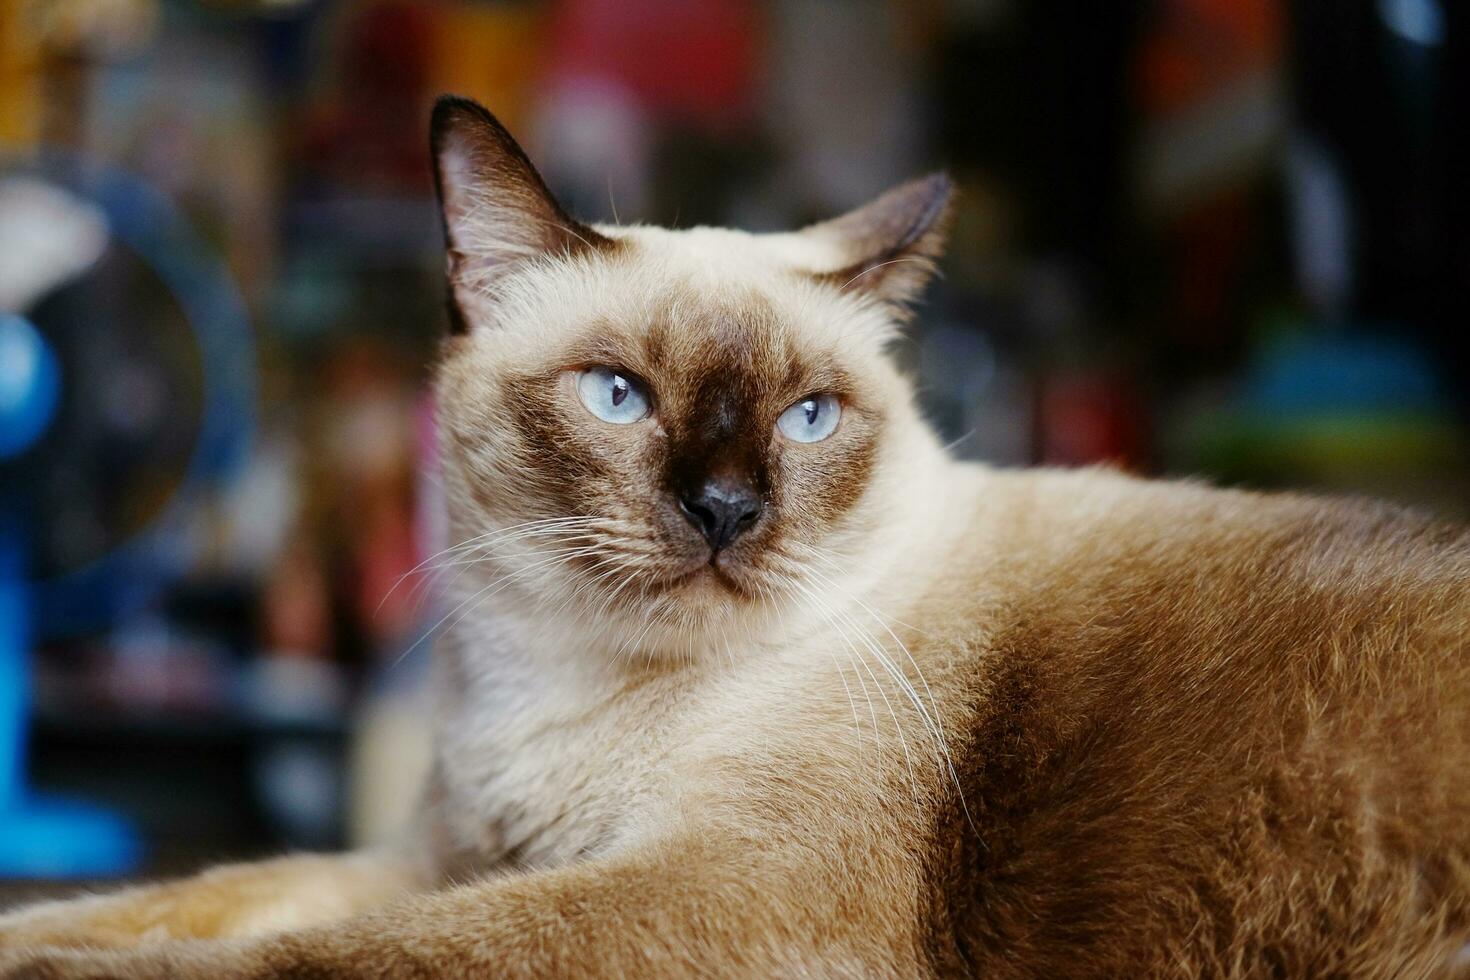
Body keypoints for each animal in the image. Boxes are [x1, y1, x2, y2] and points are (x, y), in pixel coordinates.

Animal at [2, 97, 1470, 980]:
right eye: (618, 396)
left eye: (809, 417)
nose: (724, 509)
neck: (552, 693)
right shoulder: (436, 860)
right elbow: (188, 896)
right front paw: (46, 933)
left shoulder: (715, 892)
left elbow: (335, 954)